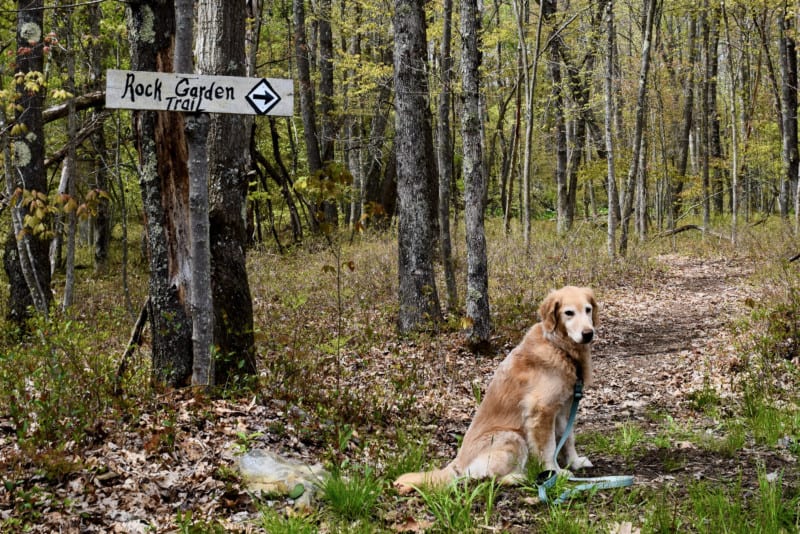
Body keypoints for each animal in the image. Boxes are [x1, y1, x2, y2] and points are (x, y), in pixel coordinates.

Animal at [396, 288, 596, 494]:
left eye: (588, 309)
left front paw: (575, 462)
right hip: (512, 437)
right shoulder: (541, 411)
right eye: (568, 313)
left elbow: (568, 438)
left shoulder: (564, 408)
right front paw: (555, 472)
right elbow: (548, 448)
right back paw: (518, 477)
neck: (559, 346)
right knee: (489, 478)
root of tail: (457, 464)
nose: (588, 334)